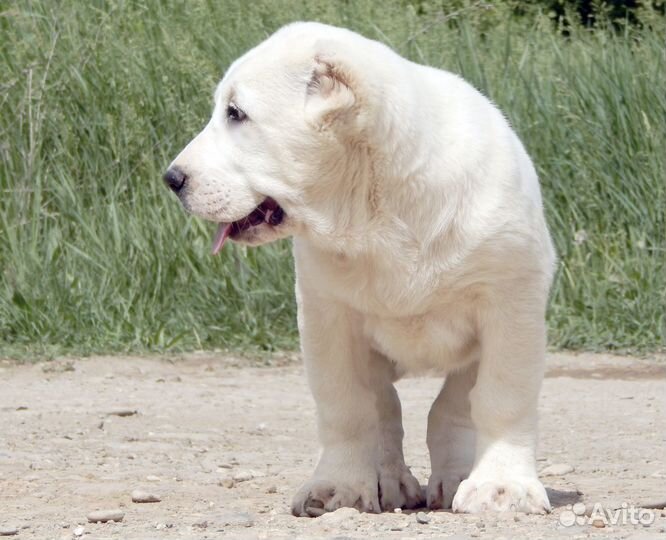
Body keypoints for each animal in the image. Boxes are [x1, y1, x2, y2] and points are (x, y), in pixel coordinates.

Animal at [165, 22, 556, 520]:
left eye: (236, 113)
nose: (172, 179)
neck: (376, 208)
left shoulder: (511, 303)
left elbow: (499, 398)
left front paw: (502, 487)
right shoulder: (326, 317)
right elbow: (349, 407)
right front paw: (340, 486)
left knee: (449, 405)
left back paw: (452, 479)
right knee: (386, 410)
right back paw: (391, 481)